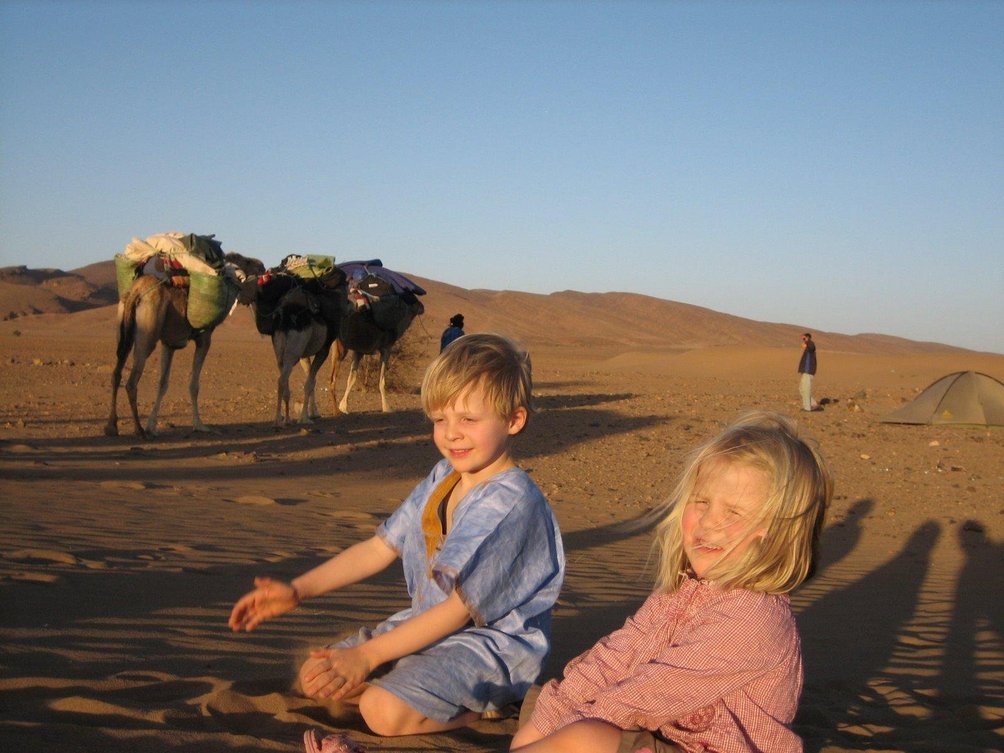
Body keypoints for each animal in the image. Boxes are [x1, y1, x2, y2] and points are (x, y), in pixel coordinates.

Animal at [104, 250, 263, 439]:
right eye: (248, 261)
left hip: (123, 331)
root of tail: (136, 292)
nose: (262, 266)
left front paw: (152, 425)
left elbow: (163, 383)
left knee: (116, 374)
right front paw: (199, 425)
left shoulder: (169, 344)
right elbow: (194, 385)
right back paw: (139, 430)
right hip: (147, 335)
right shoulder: (204, 339)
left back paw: (111, 427)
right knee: (131, 382)